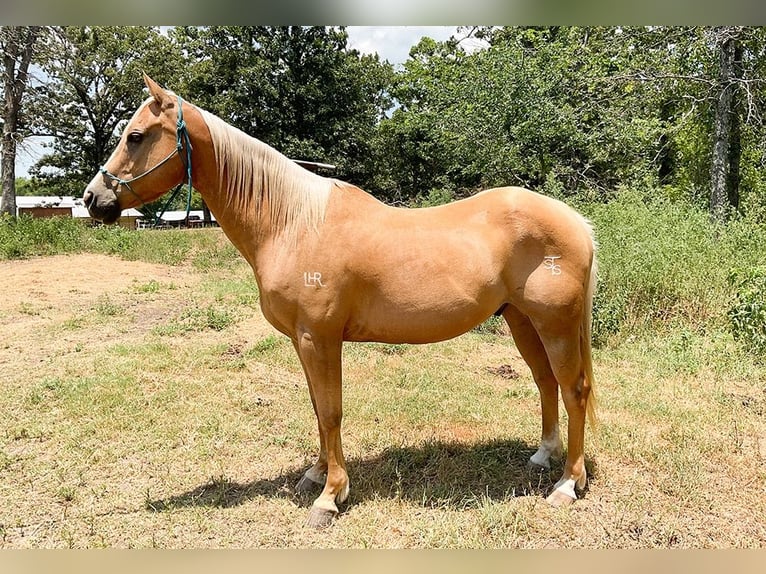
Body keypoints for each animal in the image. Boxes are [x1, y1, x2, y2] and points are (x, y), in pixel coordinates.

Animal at [83, 74, 598, 528]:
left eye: (135, 136)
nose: (93, 198)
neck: (292, 223)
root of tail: (575, 221)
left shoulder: (320, 338)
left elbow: (331, 412)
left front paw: (331, 497)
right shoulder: (303, 341)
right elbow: (317, 406)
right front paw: (315, 476)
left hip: (554, 325)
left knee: (573, 390)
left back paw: (567, 485)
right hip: (522, 321)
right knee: (546, 383)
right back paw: (543, 456)